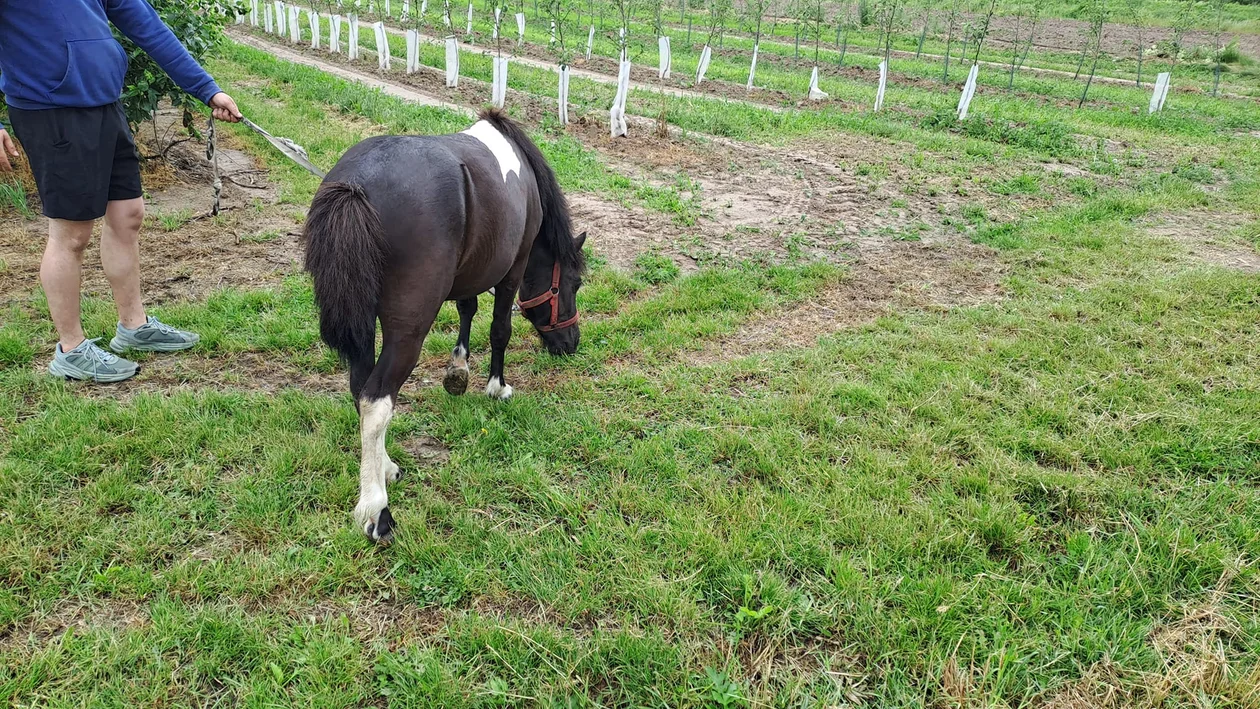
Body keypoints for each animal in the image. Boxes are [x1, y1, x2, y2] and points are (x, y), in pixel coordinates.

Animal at [302, 109, 587, 544]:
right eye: (574, 283)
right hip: (408, 331)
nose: (571, 343)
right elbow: (500, 329)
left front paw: (458, 370)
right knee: (376, 401)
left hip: (363, 325)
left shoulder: (469, 271)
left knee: (360, 389)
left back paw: (385, 468)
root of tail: (357, 184)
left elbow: (468, 308)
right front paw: (496, 387)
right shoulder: (512, 269)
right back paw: (375, 510)